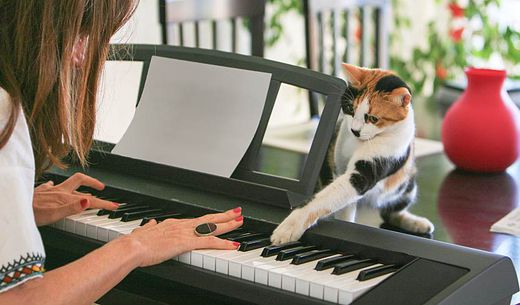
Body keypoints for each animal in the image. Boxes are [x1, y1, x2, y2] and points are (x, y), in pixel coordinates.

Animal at [270, 63, 432, 243]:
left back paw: (417, 223)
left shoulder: (377, 162)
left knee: (391, 212)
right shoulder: (337, 164)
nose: (355, 130)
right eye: (350, 109)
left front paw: (289, 226)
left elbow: (332, 195)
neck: (359, 142)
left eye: (373, 118)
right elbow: (340, 202)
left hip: (407, 184)